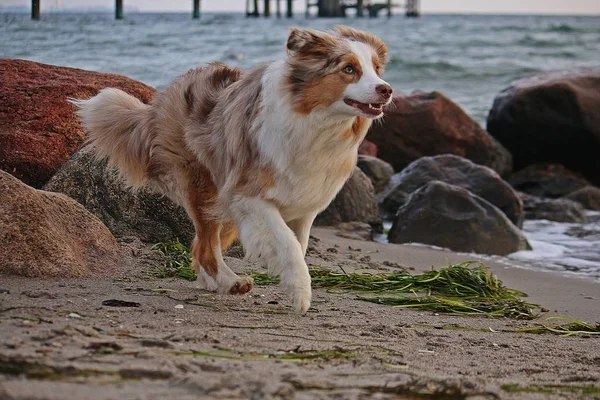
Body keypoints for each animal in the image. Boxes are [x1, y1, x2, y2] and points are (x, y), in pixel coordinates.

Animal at [72, 25, 394, 314]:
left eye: (377, 69)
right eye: (349, 69)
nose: (387, 89)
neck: (317, 123)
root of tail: (161, 98)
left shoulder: (304, 204)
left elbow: (299, 246)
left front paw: (295, 285)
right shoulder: (247, 193)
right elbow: (288, 245)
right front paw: (300, 294)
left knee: (199, 246)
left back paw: (214, 281)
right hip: (206, 188)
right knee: (205, 246)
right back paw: (228, 282)